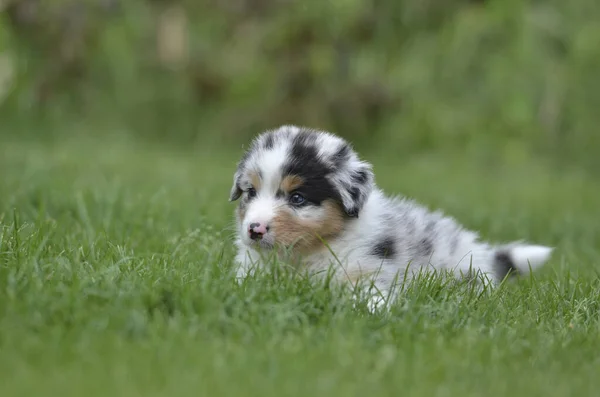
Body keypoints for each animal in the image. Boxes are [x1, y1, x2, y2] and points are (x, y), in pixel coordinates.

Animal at [229, 125, 552, 308]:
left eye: (297, 198)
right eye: (250, 192)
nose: (254, 229)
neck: (306, 252)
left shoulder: (369, 269)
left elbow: (369, 293)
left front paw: (376, 309)